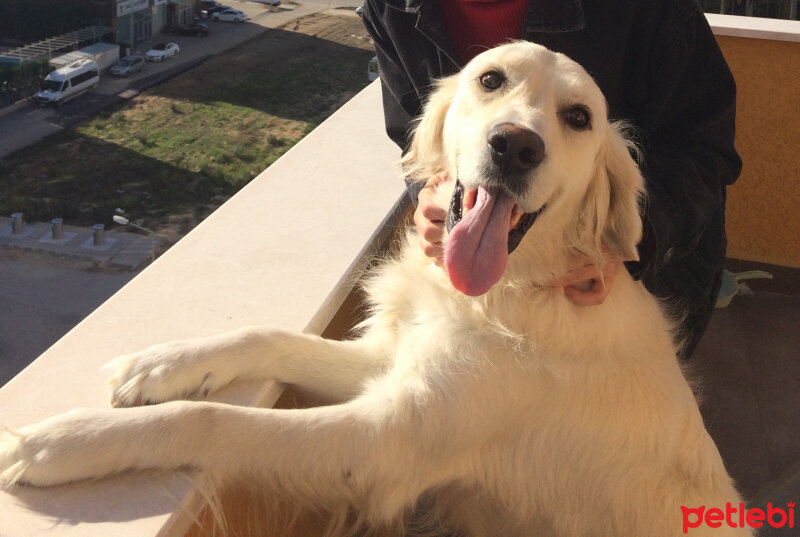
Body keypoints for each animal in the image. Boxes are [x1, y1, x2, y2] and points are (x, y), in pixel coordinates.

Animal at [0, 43, 752, 536]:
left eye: (577, 118)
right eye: (491, 79)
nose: (516, 145)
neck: (507, 292)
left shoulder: (388, 440)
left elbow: (213, 420)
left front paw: (63, 440)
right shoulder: (388, 361)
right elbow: (266, 337)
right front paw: (159, 363)